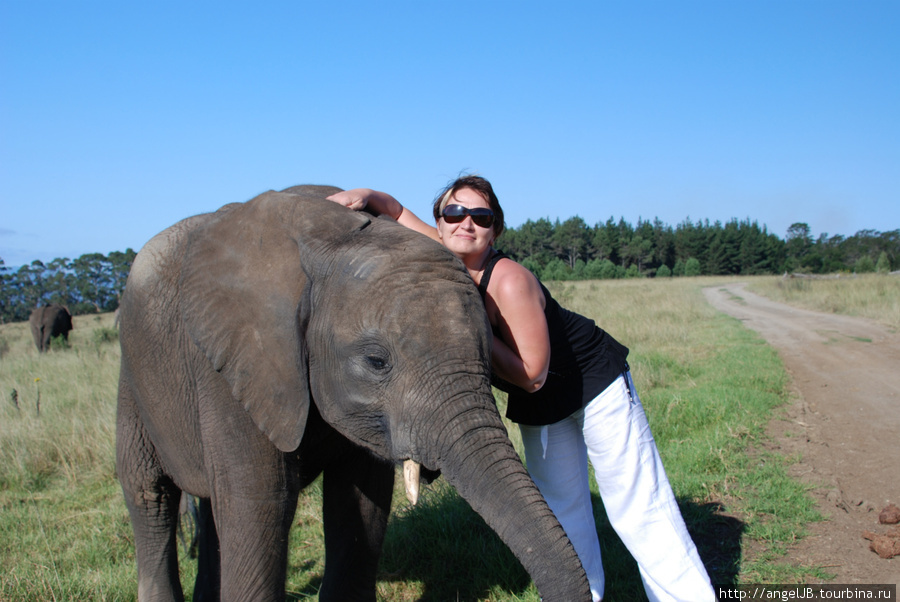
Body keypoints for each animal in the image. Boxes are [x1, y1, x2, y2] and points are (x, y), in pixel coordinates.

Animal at [116, 184, 592, 600]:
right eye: (377, 362)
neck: (328, 238)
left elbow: (361, 499)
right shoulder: (232, 365)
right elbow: (259, 503)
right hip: (132, 374)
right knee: (150, 494)